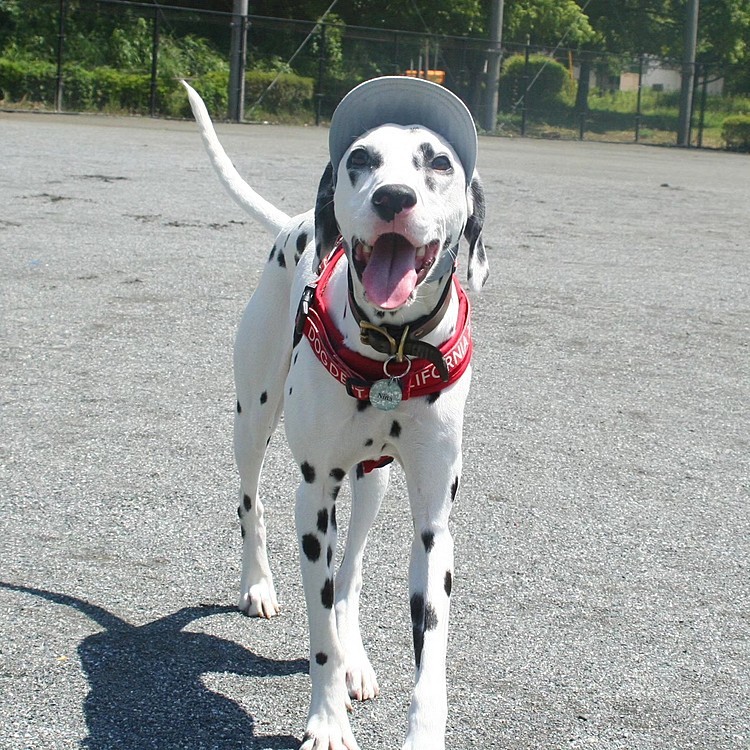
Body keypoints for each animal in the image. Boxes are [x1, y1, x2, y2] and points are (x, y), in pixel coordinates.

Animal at [182, 78, 488, 750]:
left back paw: (357, 661)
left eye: (438, 162)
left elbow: (430, 653)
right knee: (250, 502)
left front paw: (420, 730)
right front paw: (326, 720)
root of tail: (294, 222)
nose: (393, 196)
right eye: (362, 159)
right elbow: (318, 629)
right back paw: (258, 585)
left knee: (350, 576)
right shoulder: (315, 495)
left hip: (374, 481)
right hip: (253, 420)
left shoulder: (434, 523)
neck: (394, 351)